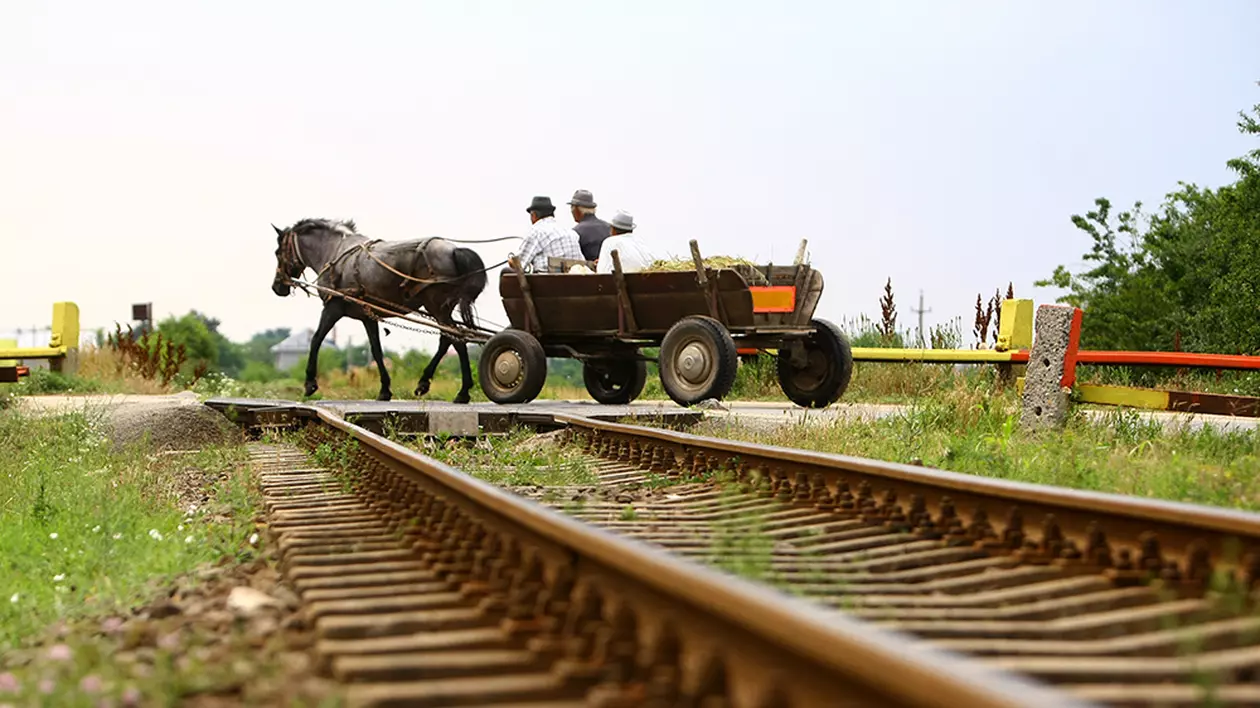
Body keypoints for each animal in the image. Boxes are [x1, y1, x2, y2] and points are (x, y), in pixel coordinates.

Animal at [270, 215, 486, 403]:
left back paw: (461, 392)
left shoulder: (333, 307)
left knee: (456, 340)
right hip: (441, 309)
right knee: (448, 339)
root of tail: (454, 250)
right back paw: (427, 383)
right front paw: (384, 390)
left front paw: (310, 384)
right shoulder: (368, 316)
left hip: (436, 307)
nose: (276, 287)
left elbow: (316, 340)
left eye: (278, 252)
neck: (335, 252)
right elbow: (376, 350)